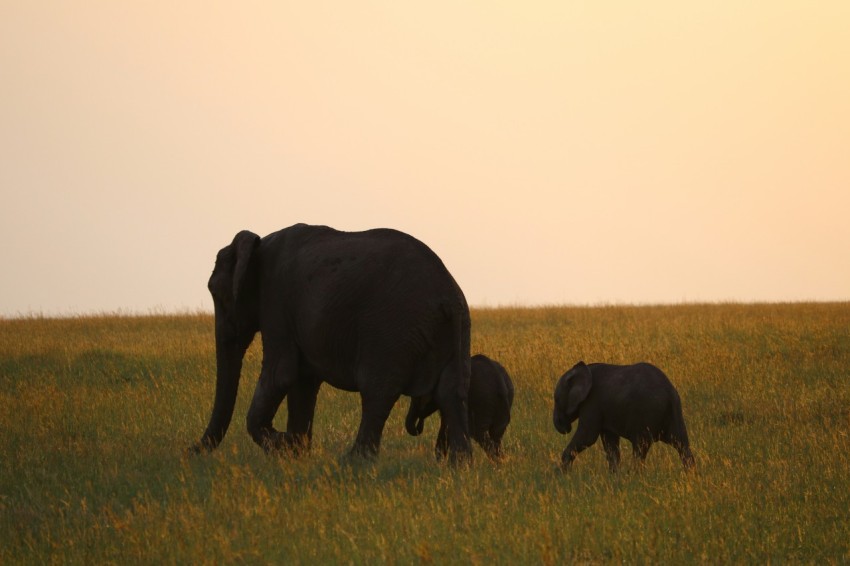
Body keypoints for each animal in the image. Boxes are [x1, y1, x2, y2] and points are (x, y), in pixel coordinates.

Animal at [191, 223, 473, 463]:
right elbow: (302, 382)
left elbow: (280, 374)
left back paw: (353, 462)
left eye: (218, 294)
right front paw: (296, 453)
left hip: (391, 331)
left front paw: (283, 445)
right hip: (455, 331)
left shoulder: (276, 302)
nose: (189, 450)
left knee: (378, 391)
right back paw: (458, 465)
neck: (259, 244)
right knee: (450, 391)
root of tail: (448, 298)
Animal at [553, 361, 694, 472]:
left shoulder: (591, 403)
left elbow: (588, 437)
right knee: (682, 444)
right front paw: (614, 478)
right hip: (675, 413)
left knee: (640, 448)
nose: (564, 427)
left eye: (556, 399)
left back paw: (634, 477)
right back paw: (690, 476)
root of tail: (669, 392)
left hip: (645, 414)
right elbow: (610, 444)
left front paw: (562, 475)